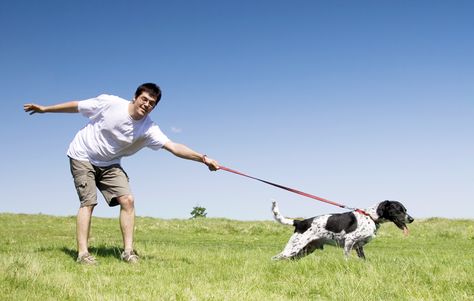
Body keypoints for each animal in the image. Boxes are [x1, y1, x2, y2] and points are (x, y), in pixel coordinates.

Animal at [272, 199, 412, 260]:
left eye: (405, 210)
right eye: (399, 210)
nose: (411, 219)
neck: (370, 217)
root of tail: (300, 222)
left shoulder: (359, 246)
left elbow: (363, 259)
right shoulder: (349, 241)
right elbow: (346, 258)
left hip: (305, 250)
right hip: (293, 248)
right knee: (276, 258)